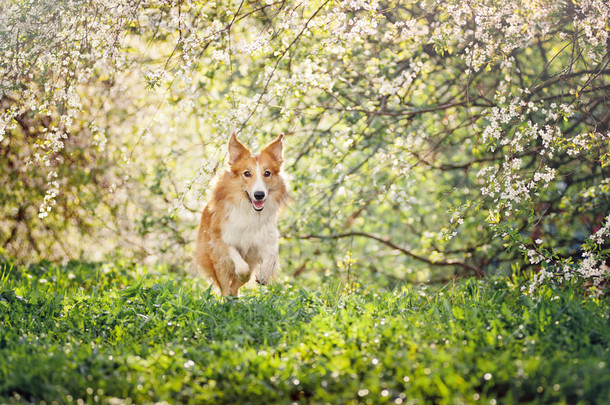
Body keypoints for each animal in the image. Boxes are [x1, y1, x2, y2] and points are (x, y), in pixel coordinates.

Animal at [195, 134, 290, 296]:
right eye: (247, 173)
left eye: (267, 173)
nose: (259, 195)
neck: (250, 212)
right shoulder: (222, 238)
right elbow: (240, 263)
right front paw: (241, 273)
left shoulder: (266, 239)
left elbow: (272, 256)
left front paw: (263, 275)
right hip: (217, 262)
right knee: (226, 288)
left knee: (235, 287)